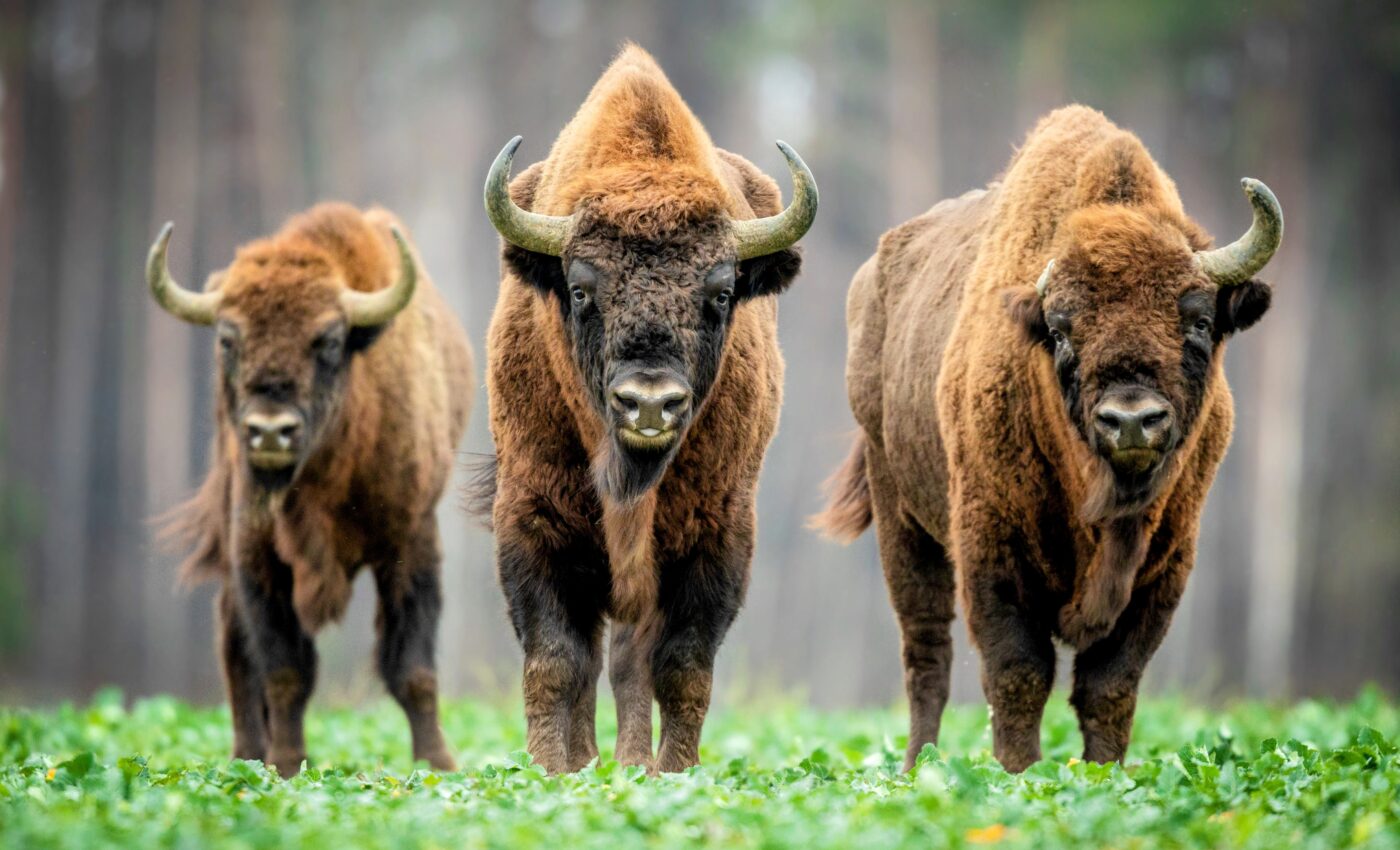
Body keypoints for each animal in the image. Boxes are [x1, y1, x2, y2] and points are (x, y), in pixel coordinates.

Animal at [147, 203, 474, 776]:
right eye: (227, 339)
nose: (269, 431)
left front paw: (437, 765)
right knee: (235, 647)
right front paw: (285, 764)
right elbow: (284, 668)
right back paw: (246, 755)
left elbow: (412, 667)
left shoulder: (412, 541)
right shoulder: (256, 553)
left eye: (329, 341)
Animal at [475, 45, 816, 774]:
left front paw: (674, 773)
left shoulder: (718, 534)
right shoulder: (532, 518)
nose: (650, 404)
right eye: (580, 289)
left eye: (721, 292)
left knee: (632, 664)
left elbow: (682, 667)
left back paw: (632, 764)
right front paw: (550, 771)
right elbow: (555, 662)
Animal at [813, 106, 1282, 772]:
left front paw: (1105, 776)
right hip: (900, 517)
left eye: (1198, 319)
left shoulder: (1165, 566)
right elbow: (1019, 673)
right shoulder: (992, 552)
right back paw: (916, 768)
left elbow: (1110, 685)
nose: (1131, 419)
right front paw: (1022, 774)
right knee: (926, 654)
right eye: (1061, 331)